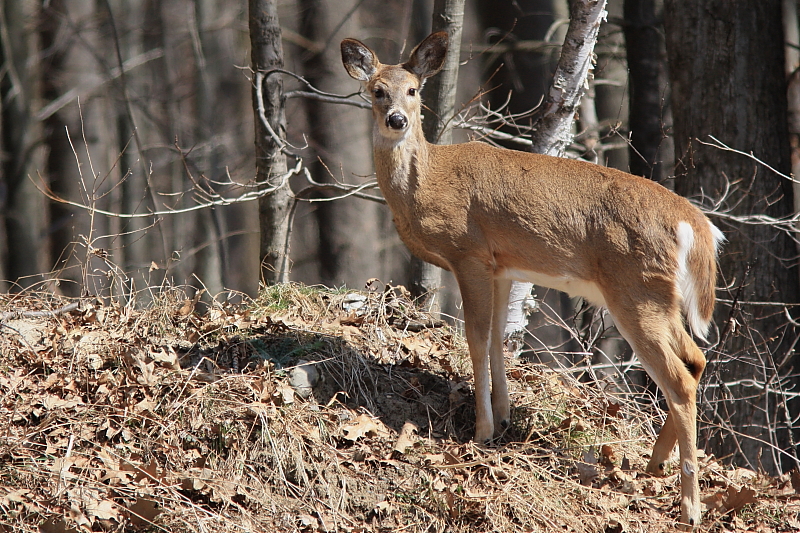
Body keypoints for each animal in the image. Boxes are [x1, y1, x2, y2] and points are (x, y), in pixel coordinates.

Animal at [340, 31, 720, 524]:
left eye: (413, 90)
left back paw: (689, 505)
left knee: (679, 377)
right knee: (695, 359)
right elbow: (499, 339)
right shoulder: (502, 266)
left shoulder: (469, 253)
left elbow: (476, 338)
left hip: (635, 289)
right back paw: (655, 465)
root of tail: (694, 222)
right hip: (659, 295)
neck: (430, 184)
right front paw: (502, 416)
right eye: (376, 91)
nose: (397, 120)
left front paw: (481, 430)